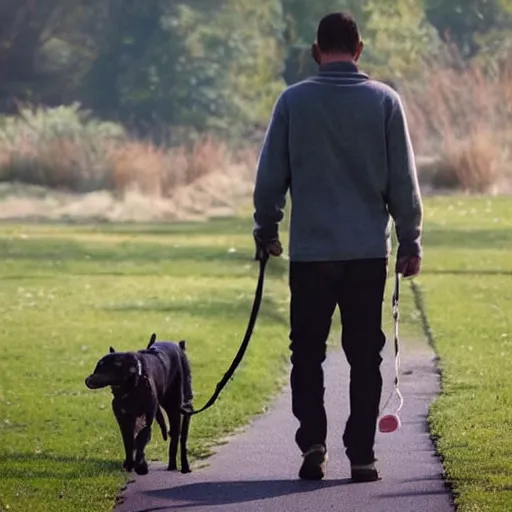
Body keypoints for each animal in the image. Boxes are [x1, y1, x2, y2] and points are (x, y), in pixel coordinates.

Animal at [85, 334, 193, 474]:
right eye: (97, 366)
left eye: (105, 367)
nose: (87, 379)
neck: (132, 387)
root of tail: (179, 346)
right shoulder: (123, 419)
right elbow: (129, 442)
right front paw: (130, 463)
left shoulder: (146, 417)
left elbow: (141, 438)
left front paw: (141, 466)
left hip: (177, 406)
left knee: (177, 436)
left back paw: (180, 465)